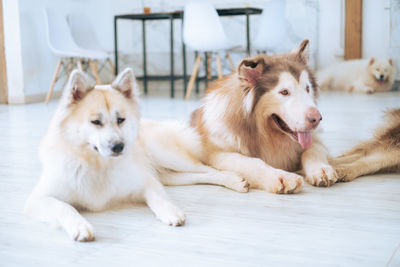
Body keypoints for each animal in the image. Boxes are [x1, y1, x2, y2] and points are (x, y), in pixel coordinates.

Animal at [25, 68, 248, 242]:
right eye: (95, 122)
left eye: (120, 120)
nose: (118, 146)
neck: (97, 165)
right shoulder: (38, 199)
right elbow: (64, 207)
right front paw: (80, 226)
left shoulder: (146, 181)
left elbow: (156, 197)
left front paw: (170, 212)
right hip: (171, 176)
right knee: (200, 176)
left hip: (170, 157)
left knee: (209, 169)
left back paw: (234, 181)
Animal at [191, 39, 338, 193]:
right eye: (284, 92)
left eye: (307, 88)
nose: (317, 119)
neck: (264, 132)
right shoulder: (217, 153)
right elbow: (252, 162)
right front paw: (282, 177)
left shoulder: (313, 141)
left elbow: (313, 150)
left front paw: (321, 169)